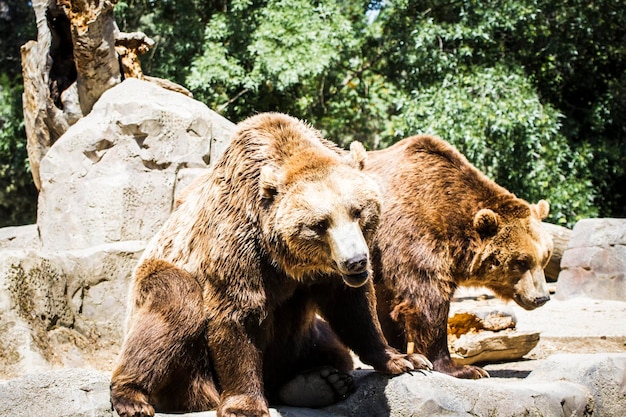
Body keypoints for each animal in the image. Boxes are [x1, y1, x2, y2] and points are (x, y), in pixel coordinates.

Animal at [108, 112, 428, 416]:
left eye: (358, 211)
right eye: (319, 224)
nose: (356, 261)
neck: (287, 260)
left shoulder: (323, 275)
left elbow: (353, 308)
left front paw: (404, 359)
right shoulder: (239, 245)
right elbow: (238, 313)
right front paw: (244, 406)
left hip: (308, 336)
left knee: (332, 350)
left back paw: (321, 382)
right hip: (164, 309)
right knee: (173, 305)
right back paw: (132, 397)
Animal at [366, 133, 552, 376]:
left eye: (545, 257)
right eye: (521, 261)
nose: (541, 297)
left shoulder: (384, 265)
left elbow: (387, 306)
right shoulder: (412, 234)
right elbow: (428, 300)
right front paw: (465, 369)